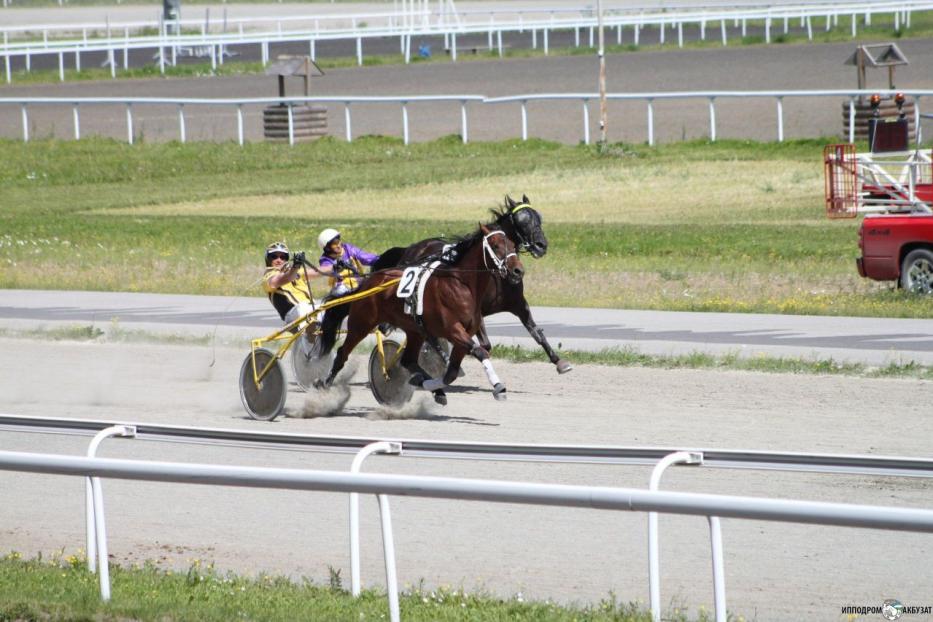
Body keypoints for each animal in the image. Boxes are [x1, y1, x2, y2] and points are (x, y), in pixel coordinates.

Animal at [320, 224, 524, 404]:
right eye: (496, 246)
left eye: (513, 245)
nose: (518, 270)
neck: (461, 286)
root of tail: (368, 282)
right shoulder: (453, 331)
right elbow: (480, 352)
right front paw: (498, 387)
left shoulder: (463, 335)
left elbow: (452, 372)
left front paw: (432, 385)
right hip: (361, 323)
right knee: (342, 353)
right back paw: (325, 384)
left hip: (414, 330)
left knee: (408, 360)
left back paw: (427, 385)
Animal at [372, 195, 568, 376]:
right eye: (523, 221)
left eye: (538, 218)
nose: (541, 245)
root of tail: (409, 249)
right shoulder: (475, 310)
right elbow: (485, 345)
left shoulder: (518, 303)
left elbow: (536, 332)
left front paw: (559, 361)